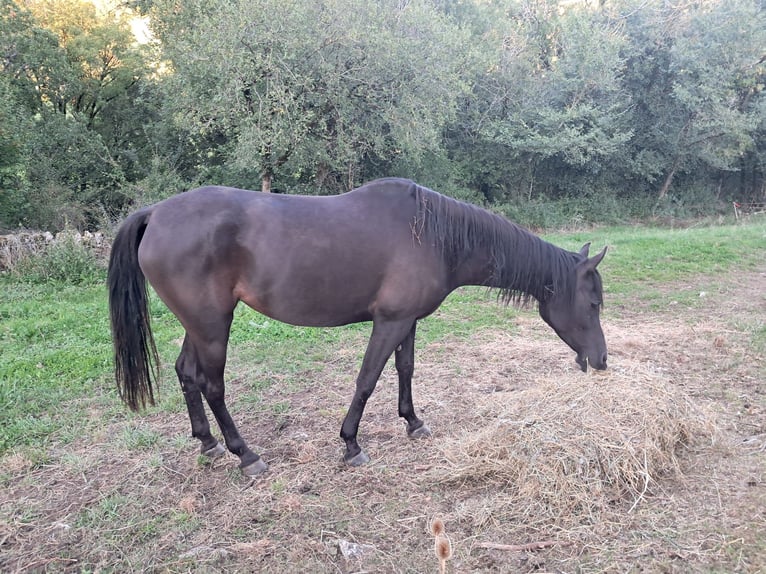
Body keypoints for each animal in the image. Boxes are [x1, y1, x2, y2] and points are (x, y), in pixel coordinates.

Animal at [108, 179, 608, 476]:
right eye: (593, 302)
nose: (602, 361)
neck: (432, 235)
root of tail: (155, 213)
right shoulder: (389, 323)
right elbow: (367, 379)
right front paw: (350, 444)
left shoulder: (407, 322)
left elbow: (405, 370)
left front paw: (413, 422)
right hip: (213, 325)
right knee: (212, 385)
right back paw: (244, 454)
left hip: (198, 324)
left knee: (187, 374)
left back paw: (208, 443)